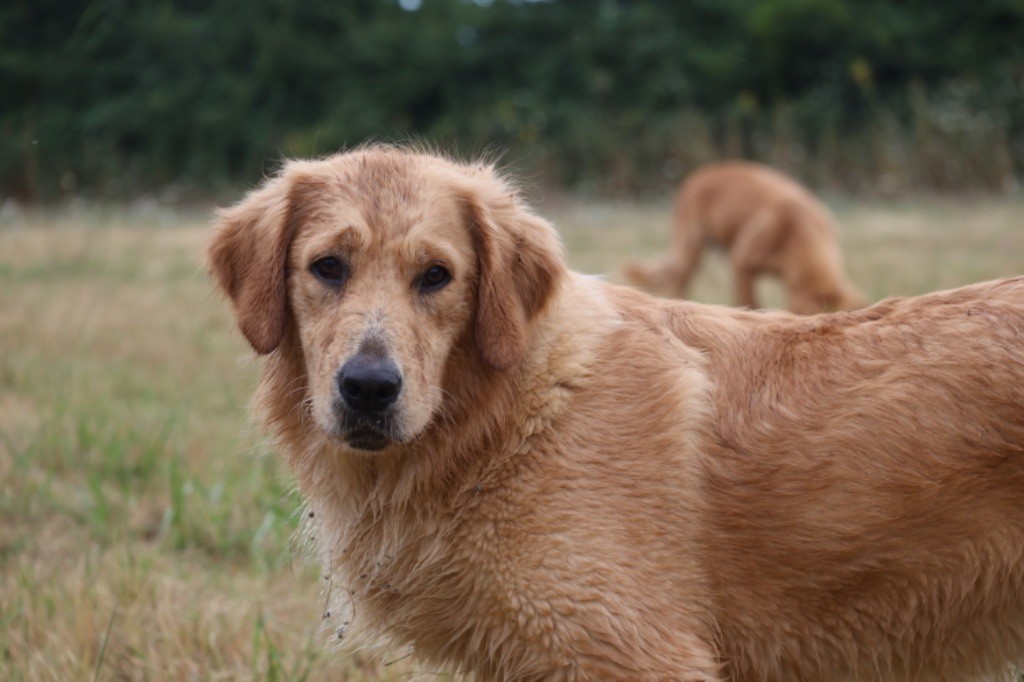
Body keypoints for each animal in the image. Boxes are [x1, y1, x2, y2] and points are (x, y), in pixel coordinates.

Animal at [622, 161, 864, 313]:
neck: (798, 231)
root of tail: (702, 174)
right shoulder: (742, 266)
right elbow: (751, 306)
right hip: (690, 249)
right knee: (679, 280)